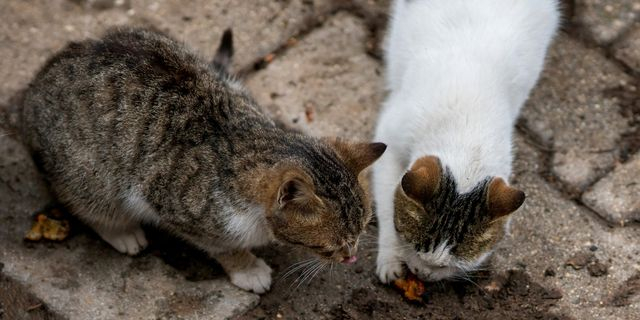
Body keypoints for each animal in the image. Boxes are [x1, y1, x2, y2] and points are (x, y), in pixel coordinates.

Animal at [372, 0, 556, 282]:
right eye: (414, 248)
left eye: (446, 266)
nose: (423, 275)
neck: (467, 134)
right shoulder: (390, 137)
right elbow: (386, 203)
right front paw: (390, 258)